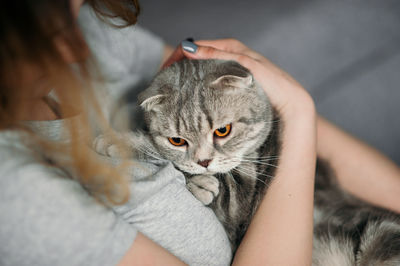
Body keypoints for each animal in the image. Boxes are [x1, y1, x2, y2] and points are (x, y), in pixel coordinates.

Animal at [96, 58, 400, 264]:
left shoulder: (240, 202)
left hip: (383, 236)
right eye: (177, 141)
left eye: (223, 130)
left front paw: (118, 142)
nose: (204, 162)